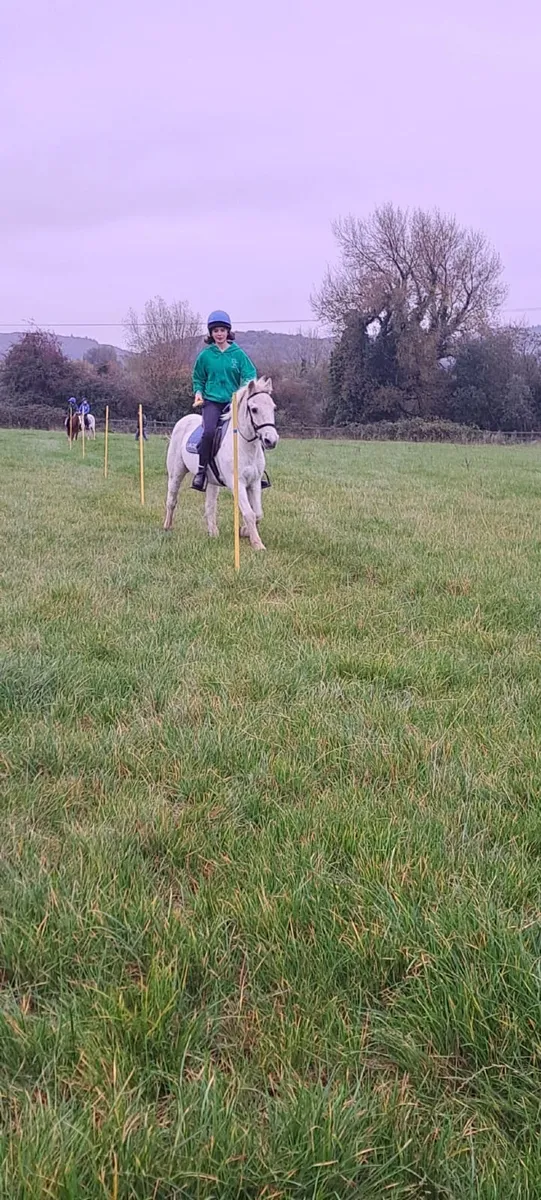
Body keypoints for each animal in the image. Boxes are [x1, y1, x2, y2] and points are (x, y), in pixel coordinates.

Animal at [163, 377, 279, 550]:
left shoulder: (255, 482)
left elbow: (257, 513)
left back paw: (213, 532)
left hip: (212, 481)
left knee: (210, 506)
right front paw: (257, 544)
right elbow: (249, 513)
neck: (244, 445)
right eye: (254, 409)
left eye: (273, 408)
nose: (271, 440)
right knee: (172, 499)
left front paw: (243, 531)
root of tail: (184, 420)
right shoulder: (237, 483)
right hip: (176, 473)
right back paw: (167, 526)